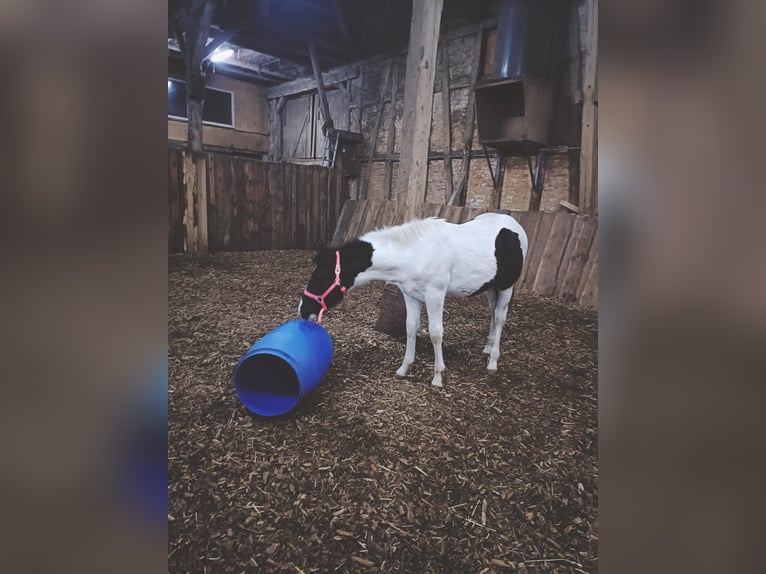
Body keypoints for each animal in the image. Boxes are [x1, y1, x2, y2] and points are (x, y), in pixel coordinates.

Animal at [299, 212, 528, 387]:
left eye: (321, 275)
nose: (303, 309)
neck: (414, 253)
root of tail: (515, 225)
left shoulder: (435, 294)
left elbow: (435, 333)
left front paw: (438, 377)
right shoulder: (410, 295)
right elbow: (410, 328)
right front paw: (404, 368)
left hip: (506, 286)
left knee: (500, 319)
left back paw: (493, 363)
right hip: (491, 286)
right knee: (493, 314)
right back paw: (488, 348)